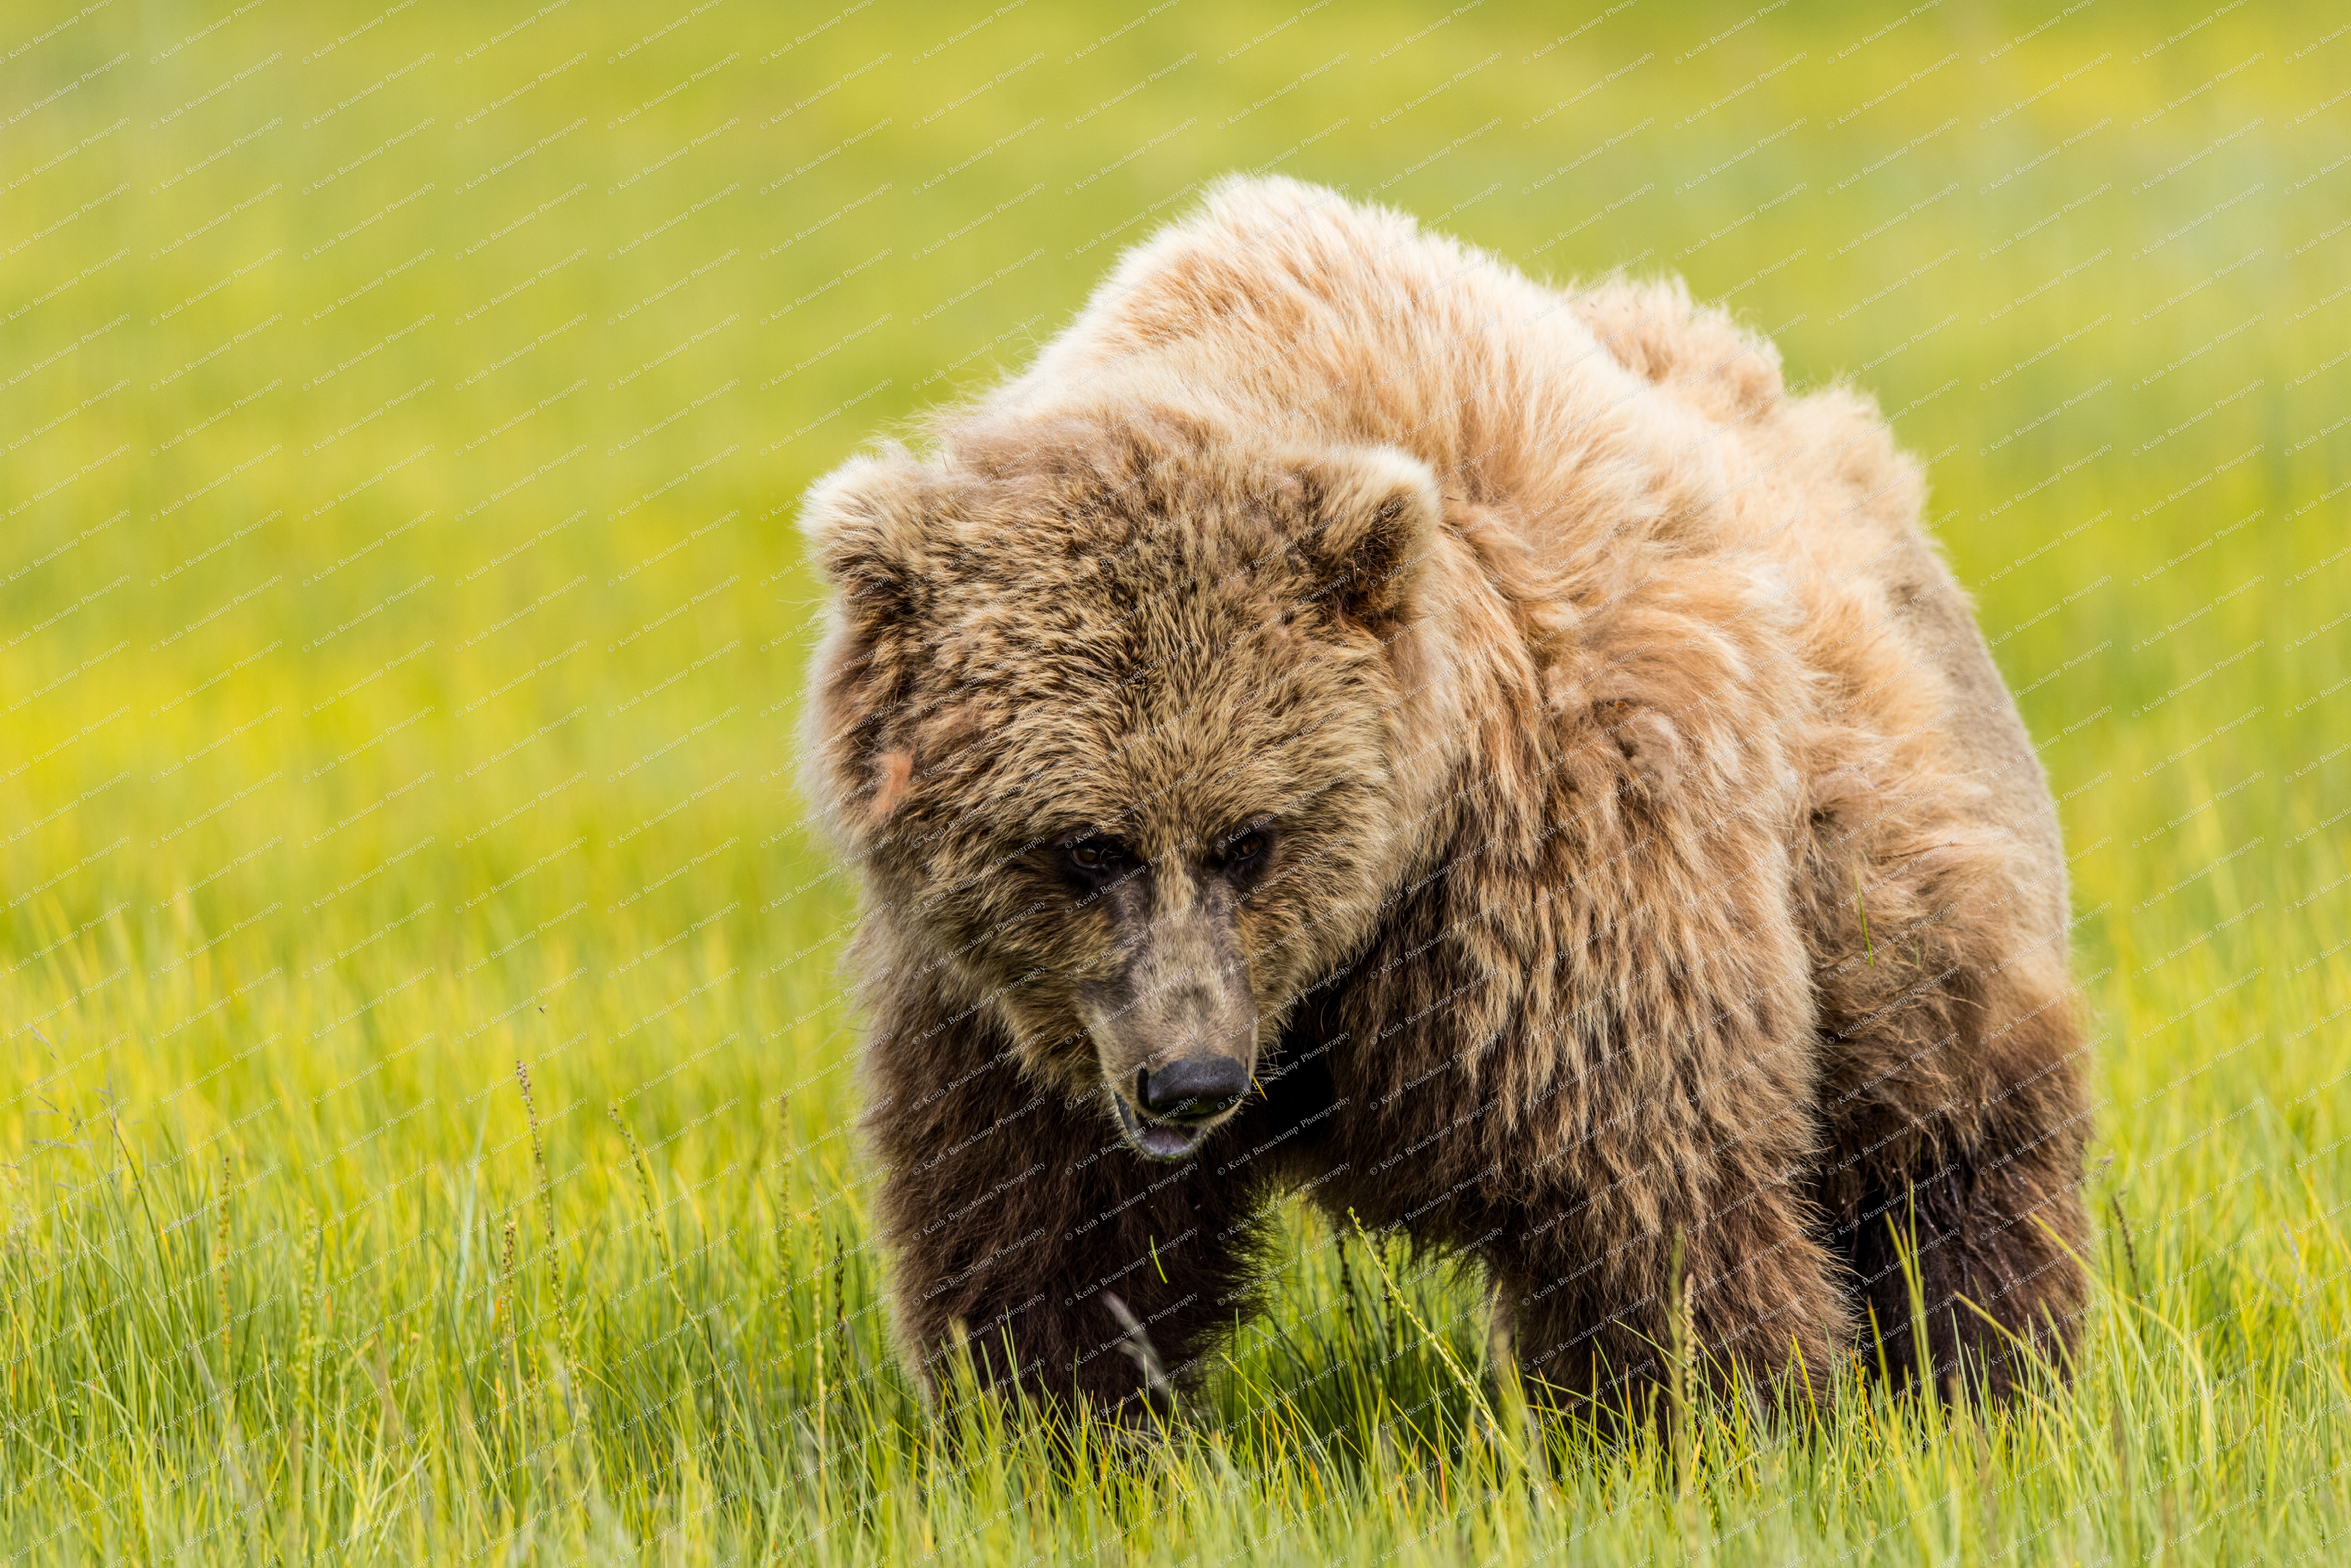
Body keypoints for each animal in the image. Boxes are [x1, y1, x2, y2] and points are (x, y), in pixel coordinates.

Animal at [795, 174, 2091, 1428]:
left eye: (1250, 839)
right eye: (1087, 847)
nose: (1192, 1078)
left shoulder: (1556, 867)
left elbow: (1647, 1187)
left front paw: (1725, 1415)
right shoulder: (1004, 1010)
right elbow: (1049, 1230)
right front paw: (1061, 1425)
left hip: (1877, 860)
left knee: (1946, 1124)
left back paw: (1990, 1373)